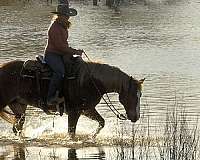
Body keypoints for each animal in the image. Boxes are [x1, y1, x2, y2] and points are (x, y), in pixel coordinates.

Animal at [0, 57, 145, 139]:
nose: (136, 117)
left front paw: (91, 136)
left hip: (18, 106)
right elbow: (71, 133)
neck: (91, 81)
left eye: (140, 95)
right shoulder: (74, 112)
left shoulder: (87, 109)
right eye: (133, 95)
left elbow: (101, 122)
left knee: (17, 128)